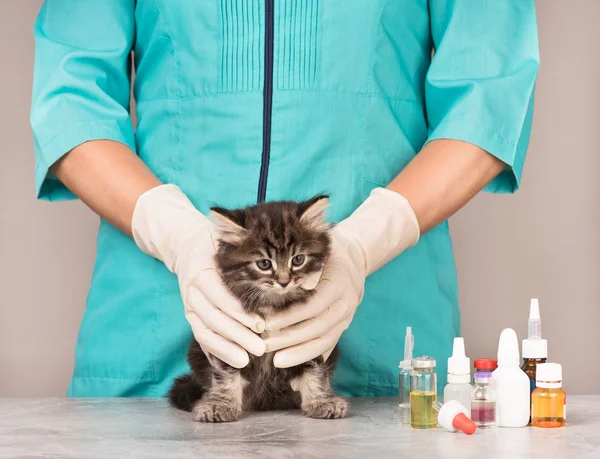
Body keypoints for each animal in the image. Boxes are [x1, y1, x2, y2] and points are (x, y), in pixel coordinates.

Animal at [166, 196, 350, 422]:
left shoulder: (311, 337)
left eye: (298, 259)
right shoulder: (229, 339)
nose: (284, 282)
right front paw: (221, 404)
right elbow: (225, 373)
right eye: (264, 264)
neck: (272, 303)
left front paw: (321, 401)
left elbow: (315, 369)